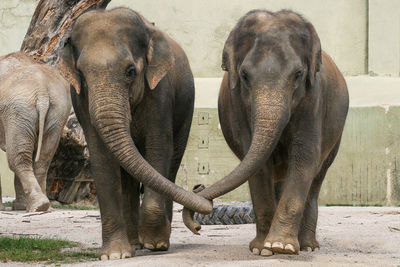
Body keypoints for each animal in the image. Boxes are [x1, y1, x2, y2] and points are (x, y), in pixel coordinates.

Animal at [0, 51, 71, 213]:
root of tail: (42, 90)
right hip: (57, 112)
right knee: (43, 158)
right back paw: (42, 206)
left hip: (18, 110)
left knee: (18, 158)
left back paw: (37, 206)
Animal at [60, 7, 212, 260]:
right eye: (81, 73)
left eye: (130, 71)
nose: (199, 226)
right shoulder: (80, 99)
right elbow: (101, 157)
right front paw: (114, 255)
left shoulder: (160, 92)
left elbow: (158, 147)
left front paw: (156, 243)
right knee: (129, 179)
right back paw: (134, 243)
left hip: (185, 111)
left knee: (170, 167)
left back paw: (154, 241)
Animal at [183, 9, 348, 258]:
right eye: (244, 75)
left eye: (298, 74)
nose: (197, 227)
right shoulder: (237, 104)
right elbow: (256, 163)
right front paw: (262, 249)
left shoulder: (314, 100)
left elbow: (304, 158)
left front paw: (282, 246)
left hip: (335, 136)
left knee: (317, 178)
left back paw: (308, 245)